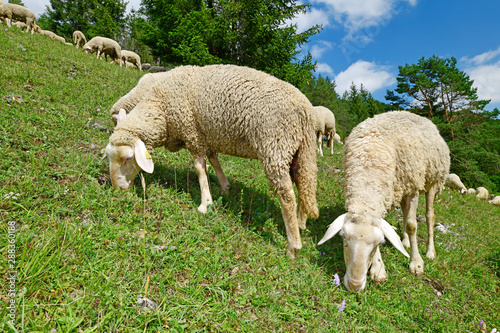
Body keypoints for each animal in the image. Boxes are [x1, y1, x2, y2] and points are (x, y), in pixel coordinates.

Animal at [104, 63, 320, 258]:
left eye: (127, 158)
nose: (117, 189)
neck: (161, 108)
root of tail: (307, 112)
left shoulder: (192, 132)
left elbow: (200, 167)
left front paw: (205, 203)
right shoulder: (205, 135)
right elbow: (214, 159)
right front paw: (224, 187)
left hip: (275, 145)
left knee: (287, 196)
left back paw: (293, 246)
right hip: (298, 150)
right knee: (303, 183)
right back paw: (301, 224)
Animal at [318, 110, 452, 290]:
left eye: (377, 244)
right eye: (344, 239)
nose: (354, 285)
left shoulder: (413, 188)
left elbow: (412, 226)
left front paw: (416, 263)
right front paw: (379, 268)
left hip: (432, 181)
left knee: (429, 216)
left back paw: (430, 251)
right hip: (401, 187)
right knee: (405, 214)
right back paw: (405, 241)